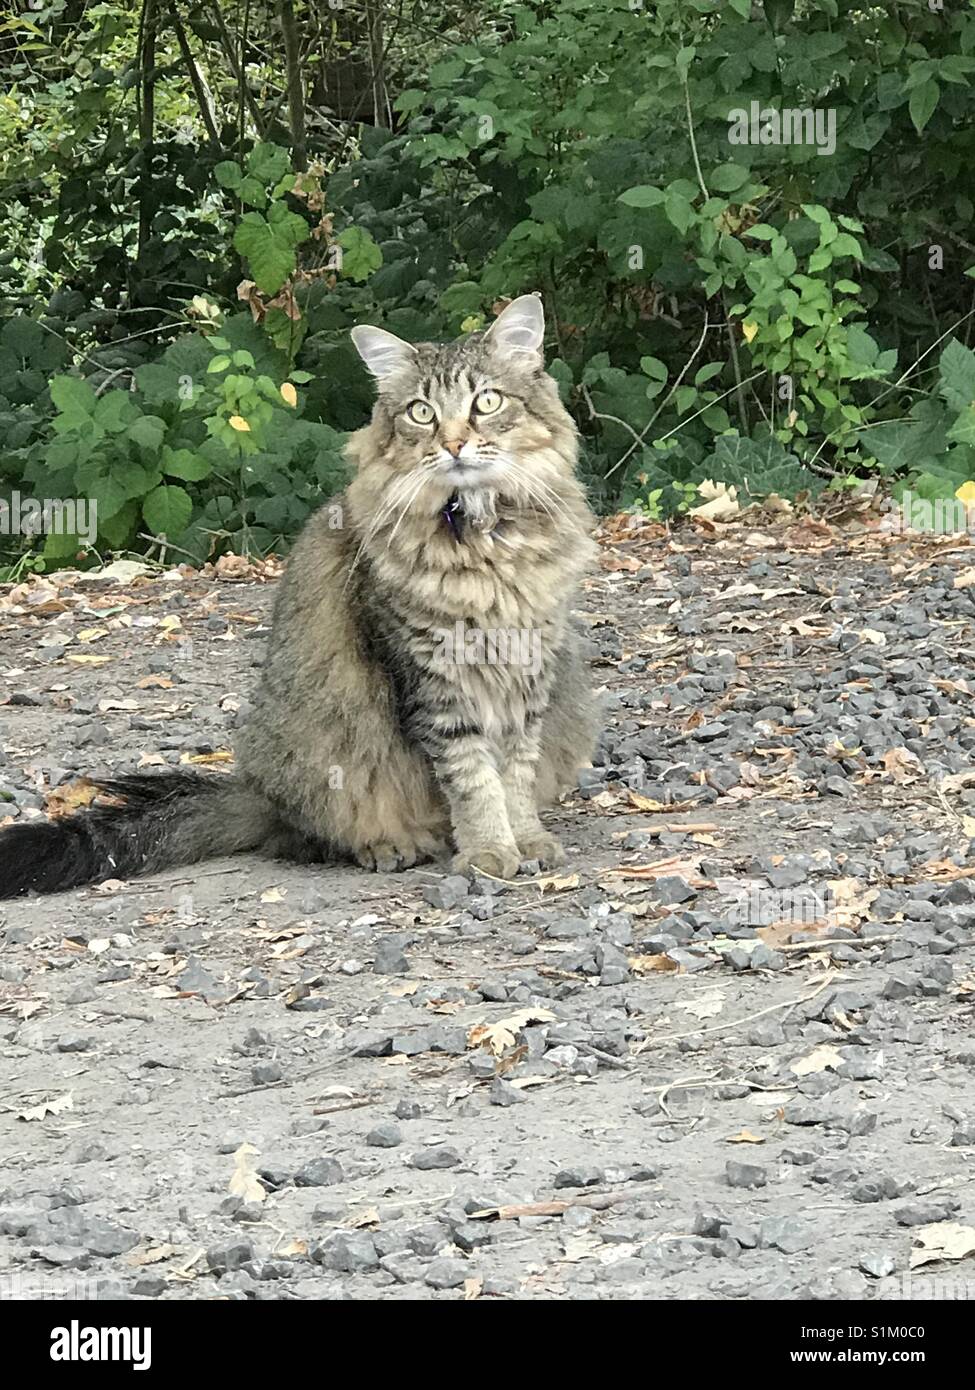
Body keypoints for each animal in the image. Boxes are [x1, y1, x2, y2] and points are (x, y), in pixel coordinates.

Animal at [0, 296, 598, 900]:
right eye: (421, 413)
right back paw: (394, 845)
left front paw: (526, 839)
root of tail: (256, 792)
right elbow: (473, 777)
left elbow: (516, 771)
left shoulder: (529, 672)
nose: (453, 444)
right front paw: (488, 851)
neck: (486, 543)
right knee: (312, 836)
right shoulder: (435, 682)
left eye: (487, 401)